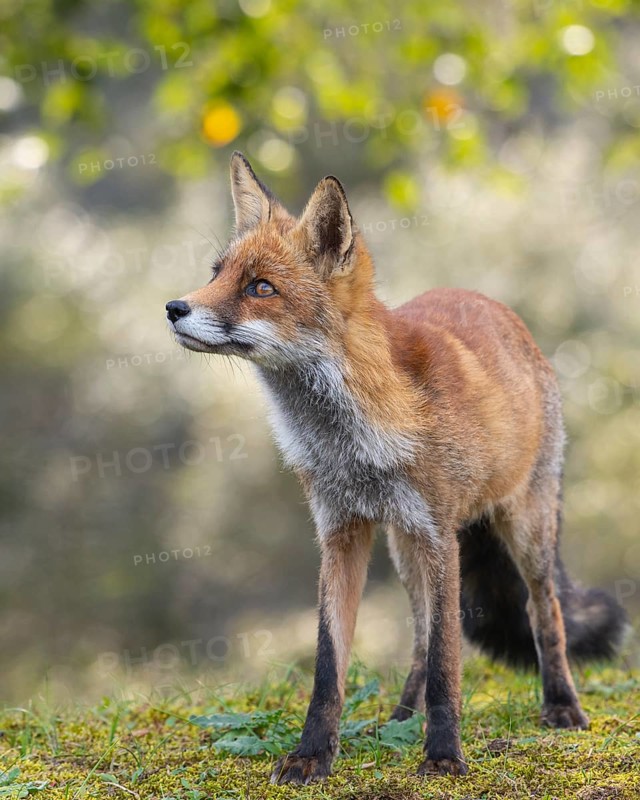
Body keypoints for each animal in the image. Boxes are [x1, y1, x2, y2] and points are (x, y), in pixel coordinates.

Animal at [165, 152, 629, 784]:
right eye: (216, 272)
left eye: (261, 288)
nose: (173, 308)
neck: (354, 440)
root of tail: (497, 306)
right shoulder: (341, 532)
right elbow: (330, 665)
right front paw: (314, 755)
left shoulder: (439, 535)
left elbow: (448, 663)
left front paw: (444, 755)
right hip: (405, 550)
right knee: (418, 637)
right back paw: (400, 718)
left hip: (522, 530)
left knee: (543, 612)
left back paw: (560, 706)